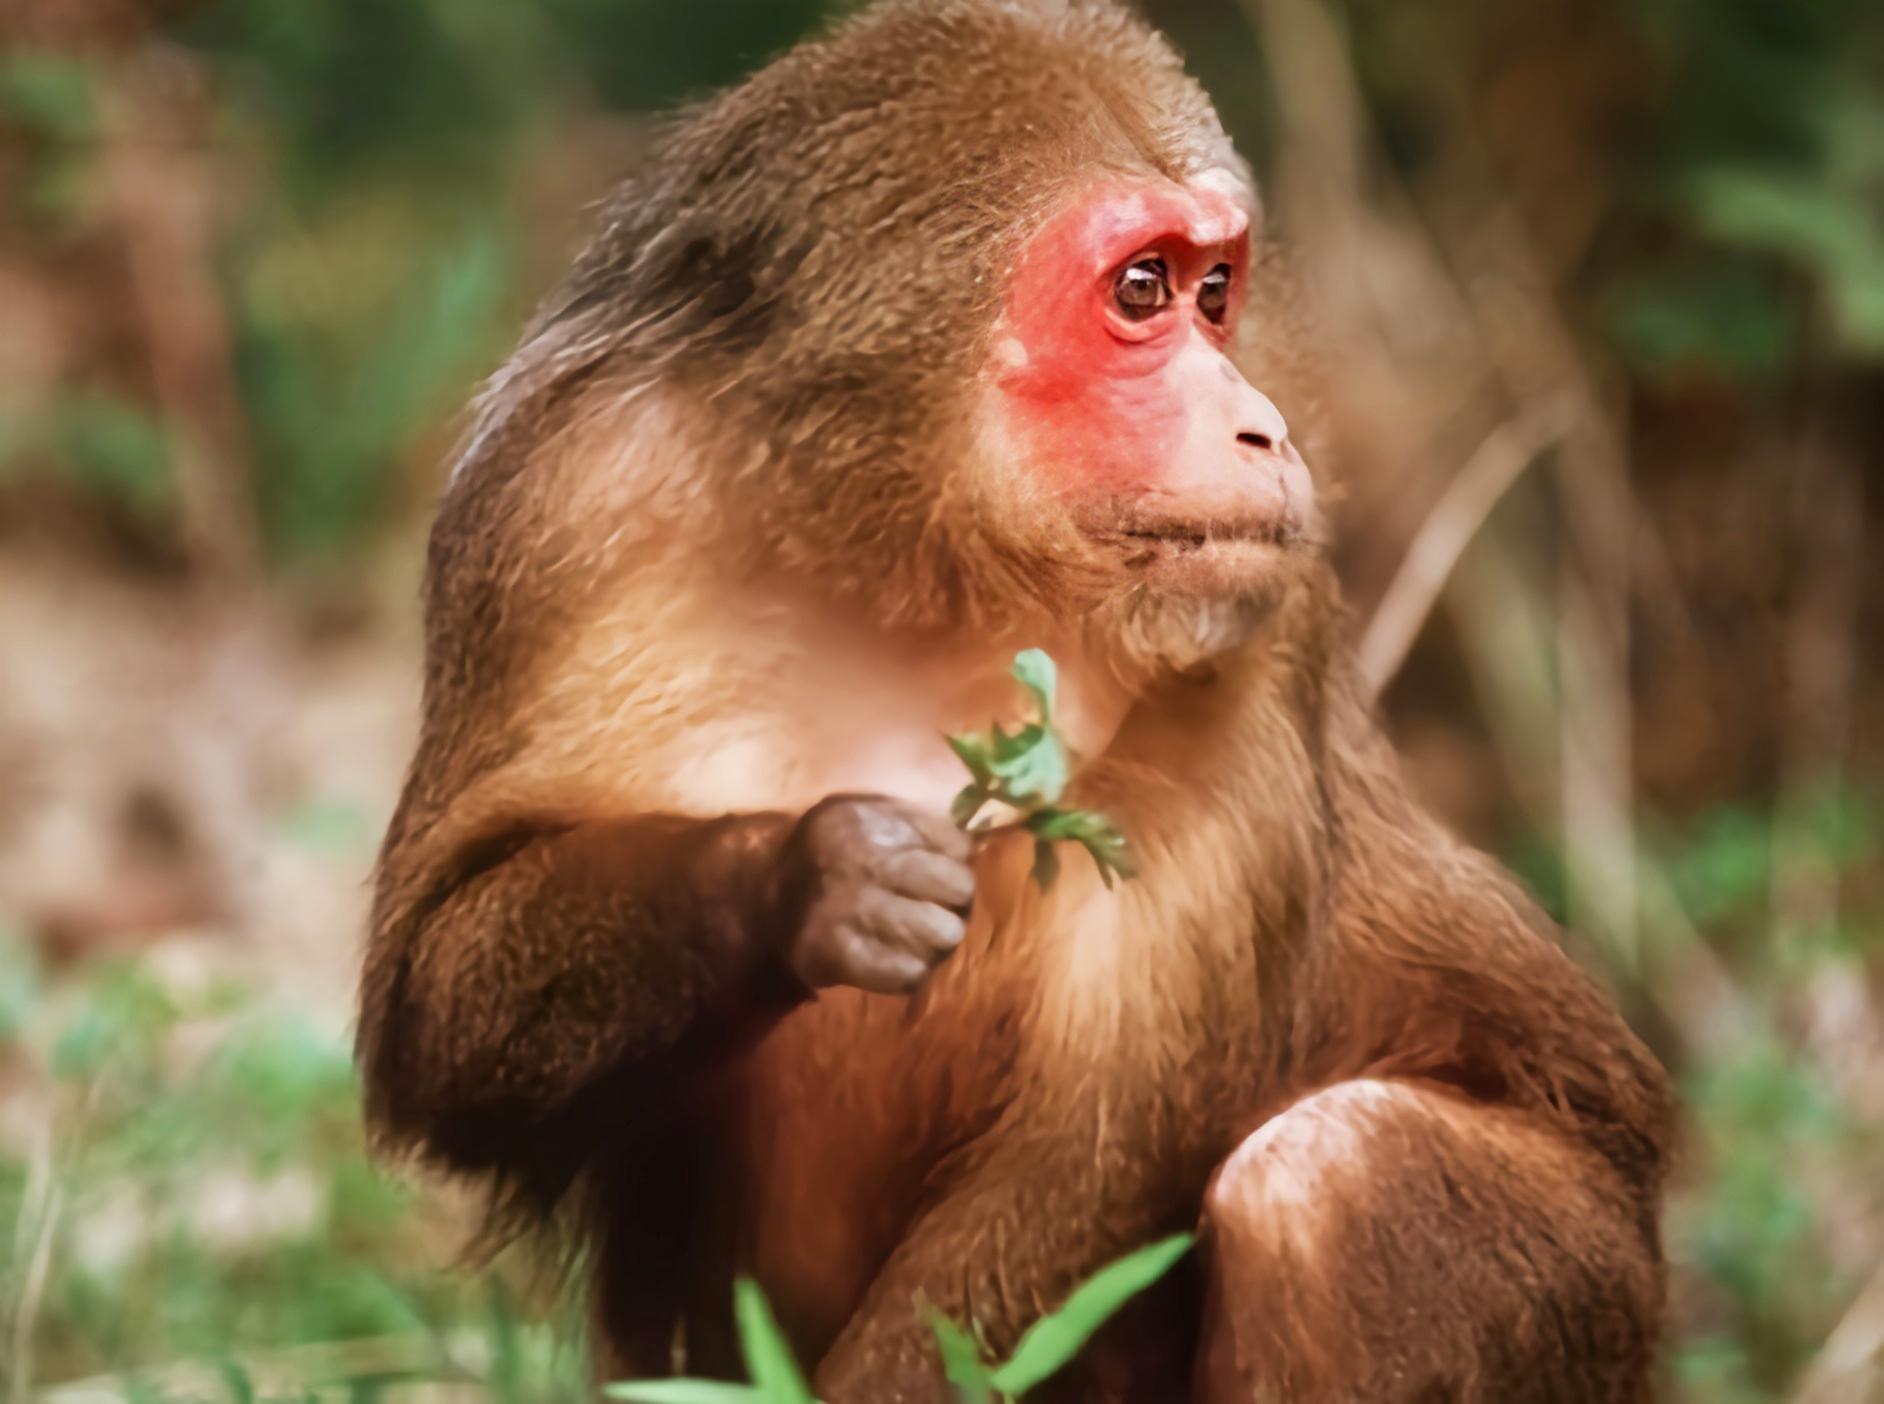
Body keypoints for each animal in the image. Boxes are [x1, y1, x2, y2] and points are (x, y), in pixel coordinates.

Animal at [356, 5, 1680, 1394]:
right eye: (1144, 291)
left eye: (1216, 292)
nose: (1261, 428)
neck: (911, 544)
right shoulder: (556, 500)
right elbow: (439, 1000)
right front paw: (811, 877)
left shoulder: (1260, 628)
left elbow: (1087, 1173)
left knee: (1339, 1176)